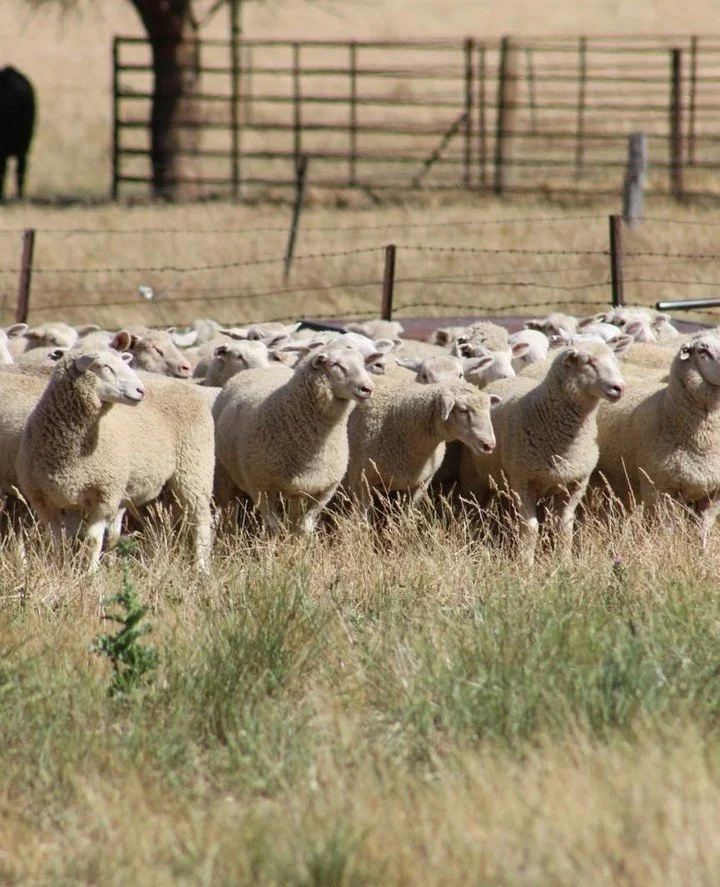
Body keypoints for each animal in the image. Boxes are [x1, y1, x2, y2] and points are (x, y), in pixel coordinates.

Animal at [17, 348, 214, 572]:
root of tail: (185, 387)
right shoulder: (45, 498)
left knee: (201, 521)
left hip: (195, 468)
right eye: (105, 366)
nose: (141, 390)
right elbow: (61, 541)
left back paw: (202, 568)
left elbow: (92, 540)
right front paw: (63, 569)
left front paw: (90, 574)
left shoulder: (105, 494)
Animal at [214, 345, 374, 534]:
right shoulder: (260, 486)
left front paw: (300, 541)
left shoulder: (325, 488)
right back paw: (231, 534)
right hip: (225, 473)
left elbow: (305, 526)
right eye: (335, 364)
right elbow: (274, 527)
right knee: (230, 508)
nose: (367, 388)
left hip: (296, 489)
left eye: (363, 363)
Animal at [344, 375, 498, 516]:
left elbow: (408, 514)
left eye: (488, 409)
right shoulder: (361, 481)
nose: (489, 445)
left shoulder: (421, 483)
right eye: (463, 410)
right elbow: (364, 516)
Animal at [459, 341, 626, 563]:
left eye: (615, 359)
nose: (620, 387)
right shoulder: (523, 483)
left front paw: (565, 561)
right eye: (588, 361)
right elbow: (530, 528)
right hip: (474, 475)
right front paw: (526, 564)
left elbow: (564, 527)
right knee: (472, 509)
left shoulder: (575, 485)